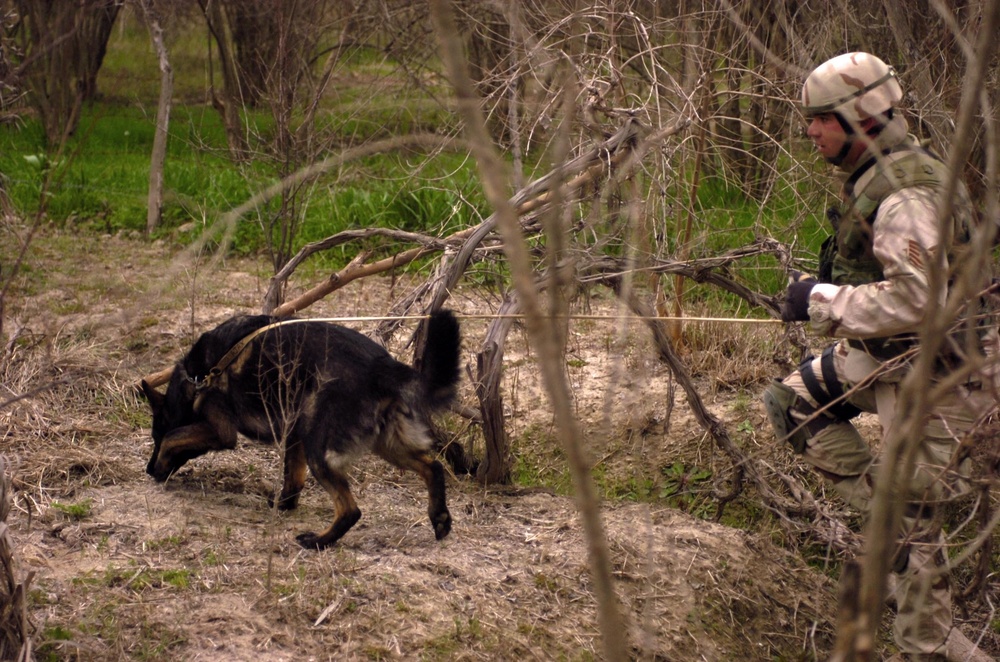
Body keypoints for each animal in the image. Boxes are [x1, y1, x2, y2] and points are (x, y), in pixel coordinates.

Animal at [141, 312, 460, 548]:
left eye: (153, 438)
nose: (147, 469)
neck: (197, 378)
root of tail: (382, 367)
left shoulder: (221, 431)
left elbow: (173, 436)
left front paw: (161, 464)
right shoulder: (294, 436)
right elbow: (293, 481)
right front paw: (284, 505)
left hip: (321, 451)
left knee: (350, 510)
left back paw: (319, 541)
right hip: (386, 445)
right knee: (433, 467)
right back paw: (440, 517)